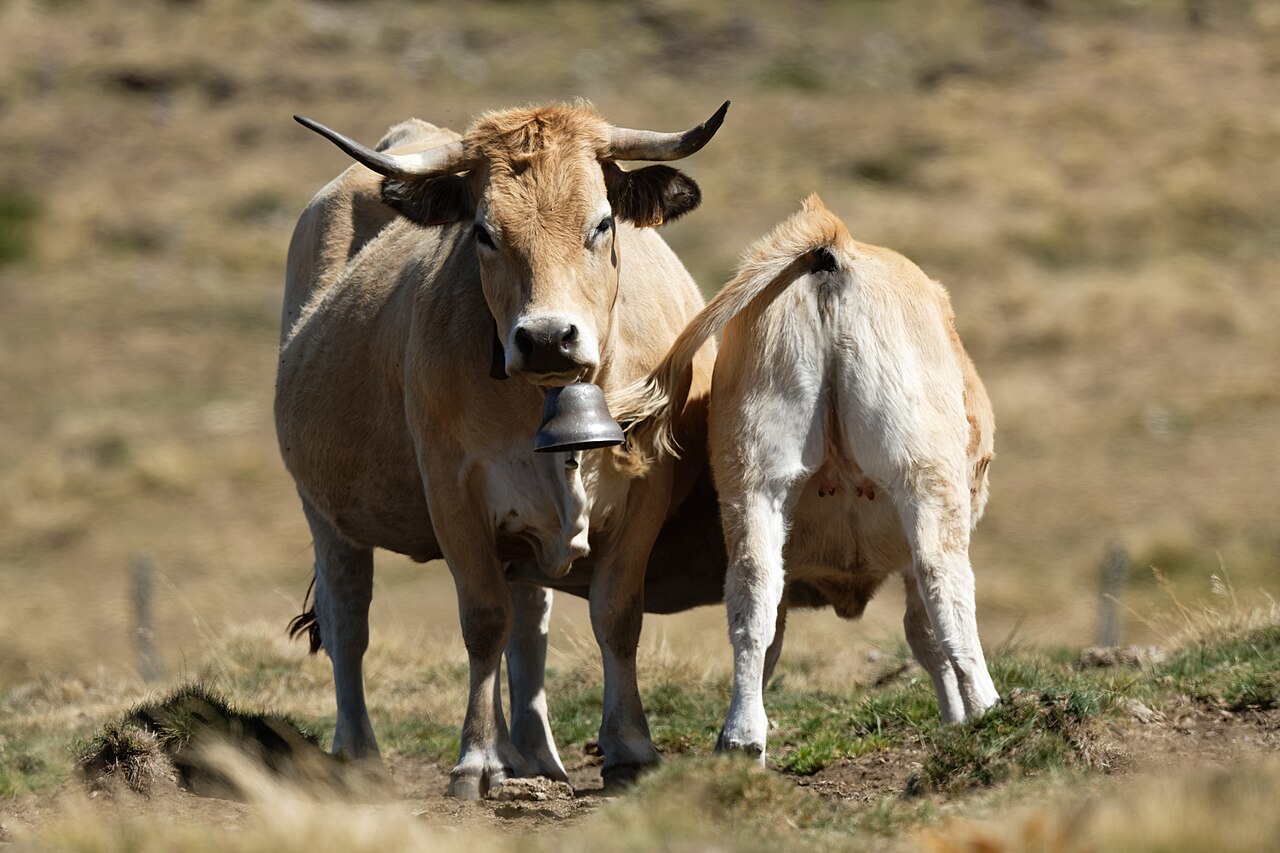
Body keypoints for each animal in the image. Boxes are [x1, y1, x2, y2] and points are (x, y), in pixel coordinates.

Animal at [276, 102, 727, 797]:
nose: (546, 338)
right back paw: (361, 756)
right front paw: (479, 759)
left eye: (602, 223)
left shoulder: (645, 492)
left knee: (530, 622)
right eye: (485, 233)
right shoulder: (453, 493)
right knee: (348, 617)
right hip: (323, 508)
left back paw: (535, 756)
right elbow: (483, 620)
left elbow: (616, 616)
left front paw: (630, 748)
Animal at [612, 194, 1000, 762]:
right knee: (944, 583)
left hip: (753, 475)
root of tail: (835, 244)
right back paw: (990, 709)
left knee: (753, 593)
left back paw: (741, 738)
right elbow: (924, 631)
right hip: (924, 475)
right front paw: (957, 720)